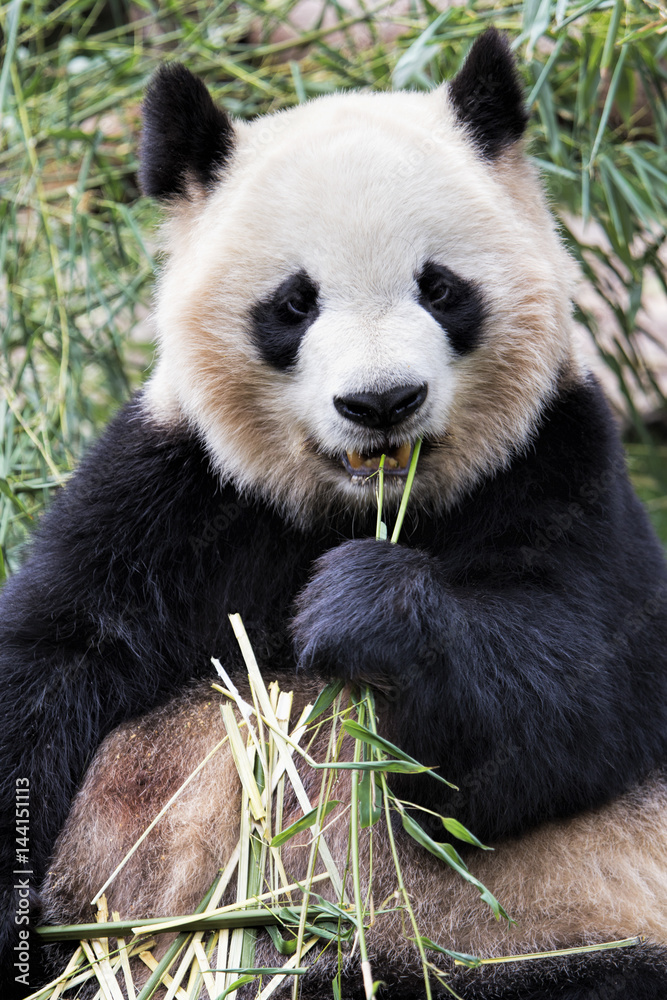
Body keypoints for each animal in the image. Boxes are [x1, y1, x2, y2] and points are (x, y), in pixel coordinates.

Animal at [1, 26, 667, 1000]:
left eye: (440, 287)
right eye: (294, 302)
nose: (382, 402)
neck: (360, 505)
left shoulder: (559, 464)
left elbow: (571, 698)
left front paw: (360, 610)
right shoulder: (173, 493)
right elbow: (57, 653)